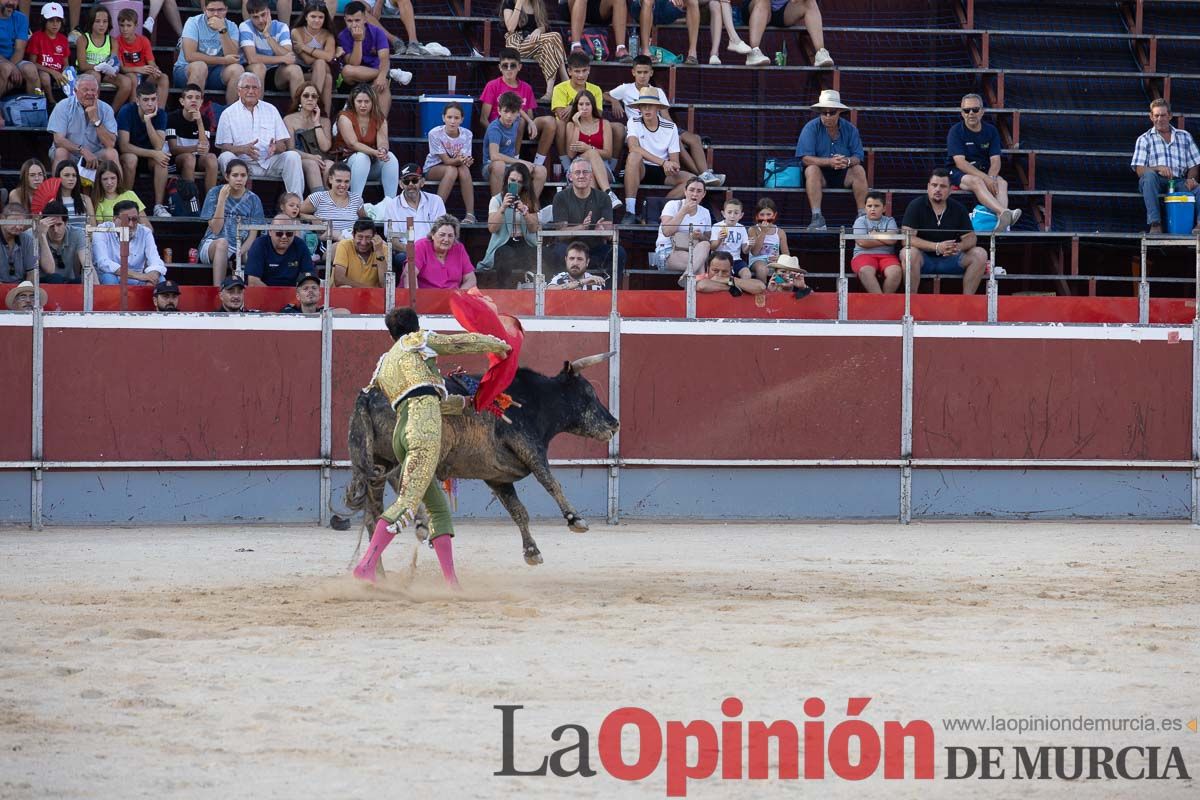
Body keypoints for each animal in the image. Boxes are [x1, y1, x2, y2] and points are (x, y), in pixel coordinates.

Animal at [338, 352, 619, 566]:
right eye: (588, 393)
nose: (614, 423)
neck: (536, 399)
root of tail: (368, 395)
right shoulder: (531, 450)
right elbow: (551, 483)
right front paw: (575, 519)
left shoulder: (497, 477)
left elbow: (519, 511)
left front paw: (532, 552)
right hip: (414, 452)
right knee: (403, 479)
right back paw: (421, 522)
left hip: (374, 463)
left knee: (374, 516)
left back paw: (377, 569)